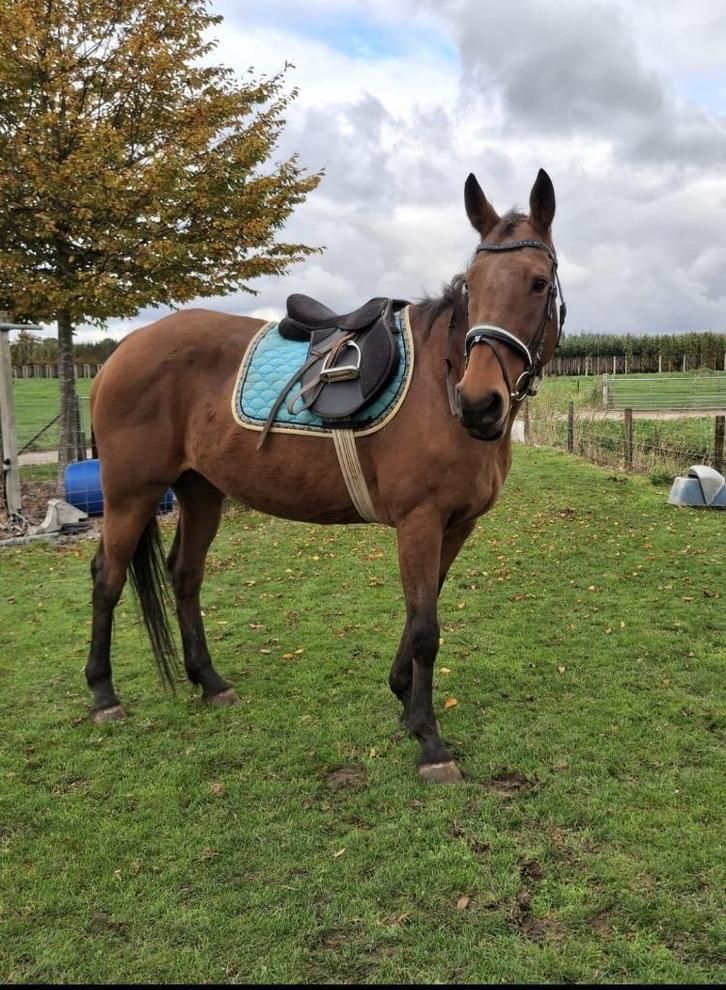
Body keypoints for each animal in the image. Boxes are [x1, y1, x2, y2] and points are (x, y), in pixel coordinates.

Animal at [86, 169, 564, 783]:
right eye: (471, 284)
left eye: (537, 283)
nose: (480, 404)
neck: (440, 386)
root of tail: (122, 353)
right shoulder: (420, 521)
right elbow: (426, 628)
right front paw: (430, 742)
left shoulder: (456, 525)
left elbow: (421, 611)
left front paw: (404, 703)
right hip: (131, 492)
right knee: (107, 578)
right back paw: (104, 695)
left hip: (201, 492)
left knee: (185, 576)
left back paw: (210, 683)